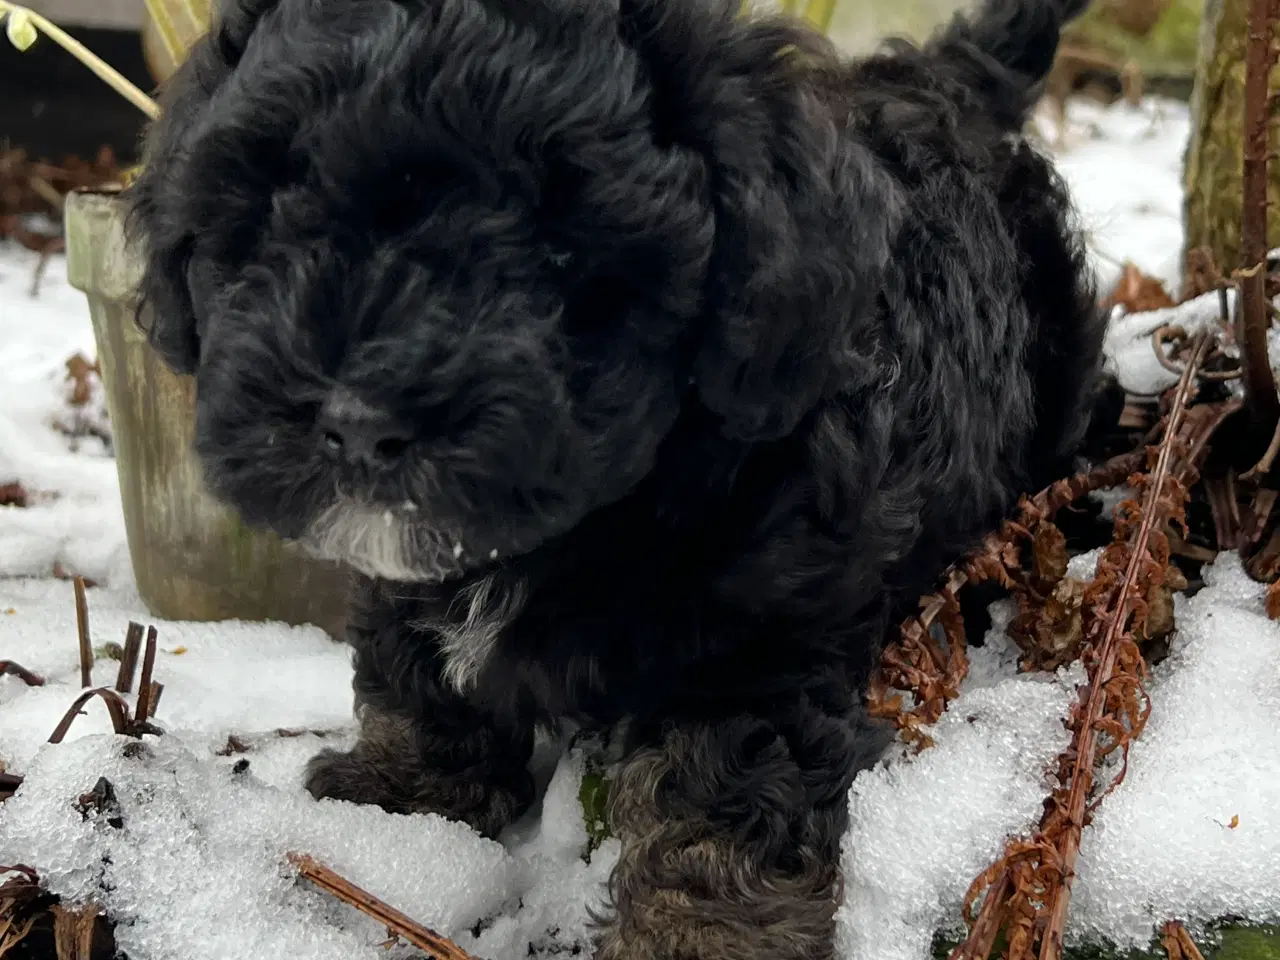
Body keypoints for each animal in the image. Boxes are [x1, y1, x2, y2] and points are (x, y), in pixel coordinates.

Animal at [124, 0, 1111, 957]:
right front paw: (404, 808)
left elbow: (722, 798)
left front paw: (699, 937)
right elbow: (410, 659)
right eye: (271, 213)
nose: (361, 421)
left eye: (560, 246)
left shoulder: (752, 641)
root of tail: (950, 78)